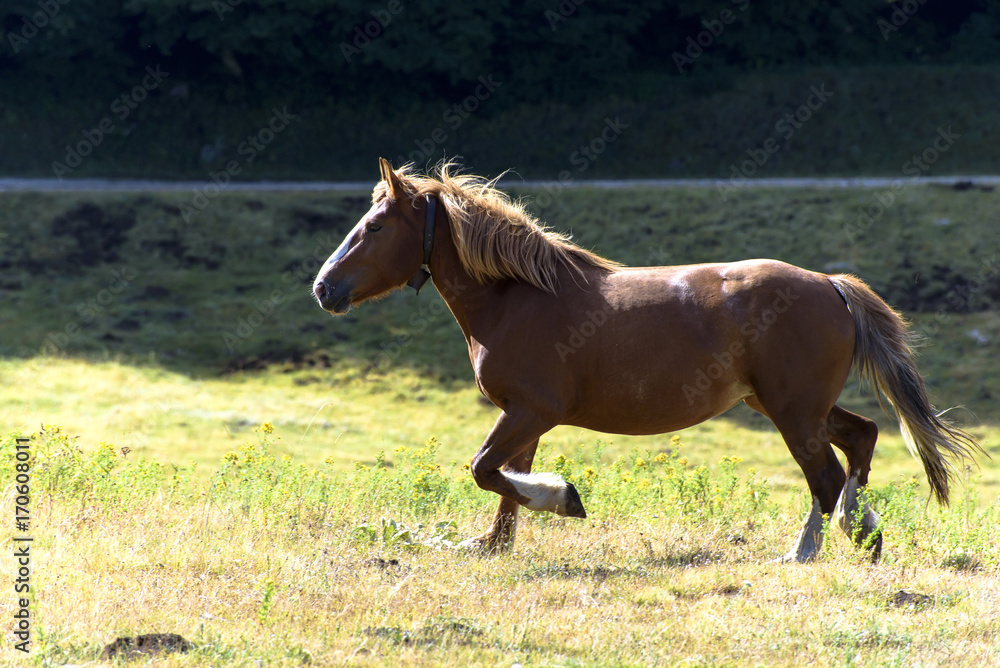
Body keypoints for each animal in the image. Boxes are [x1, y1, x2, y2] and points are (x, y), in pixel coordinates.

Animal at [312, 158, 984, 561]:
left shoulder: (529, 410)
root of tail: (831, 285)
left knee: (825, 476)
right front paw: (493, 543)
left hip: (793, 413)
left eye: (375, 226)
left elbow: (486, 470)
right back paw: (862, 531)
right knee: (861, 440)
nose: (324, 288)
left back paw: (809, 551)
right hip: (791, 405)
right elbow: (504, 488)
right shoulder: (522, 417)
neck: (516, 298)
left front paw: (566, 499)